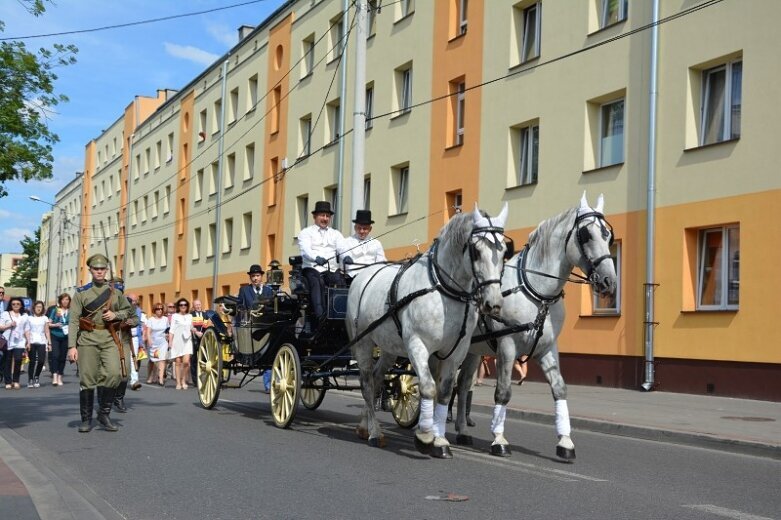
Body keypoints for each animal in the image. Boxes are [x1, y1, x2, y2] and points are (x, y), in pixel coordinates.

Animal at [346, 203, 506, 460]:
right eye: (476, 251)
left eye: (504, 253)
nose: (494, 304)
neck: (443, 290)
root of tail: (362, 275)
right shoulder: (417, 344)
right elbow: (428, 388)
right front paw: (424, 437)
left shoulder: (456, 351)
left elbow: (444, 392)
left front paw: (440, 442)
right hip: (363, 342)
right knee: (367, 383)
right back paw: (375, 433)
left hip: (389, 348)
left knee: (377, 378)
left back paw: (364, 426)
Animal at [450, 193, 616, 462]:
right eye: (586, 235)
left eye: (608, 236)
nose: (609, 281)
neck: (536, 292)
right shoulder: (507, 347)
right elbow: (503, 392)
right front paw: (499, 440)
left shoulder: (547, 348)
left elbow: (559, 389)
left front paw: (565, 442)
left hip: (473, 351)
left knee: (463, 385)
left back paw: (462, 431)